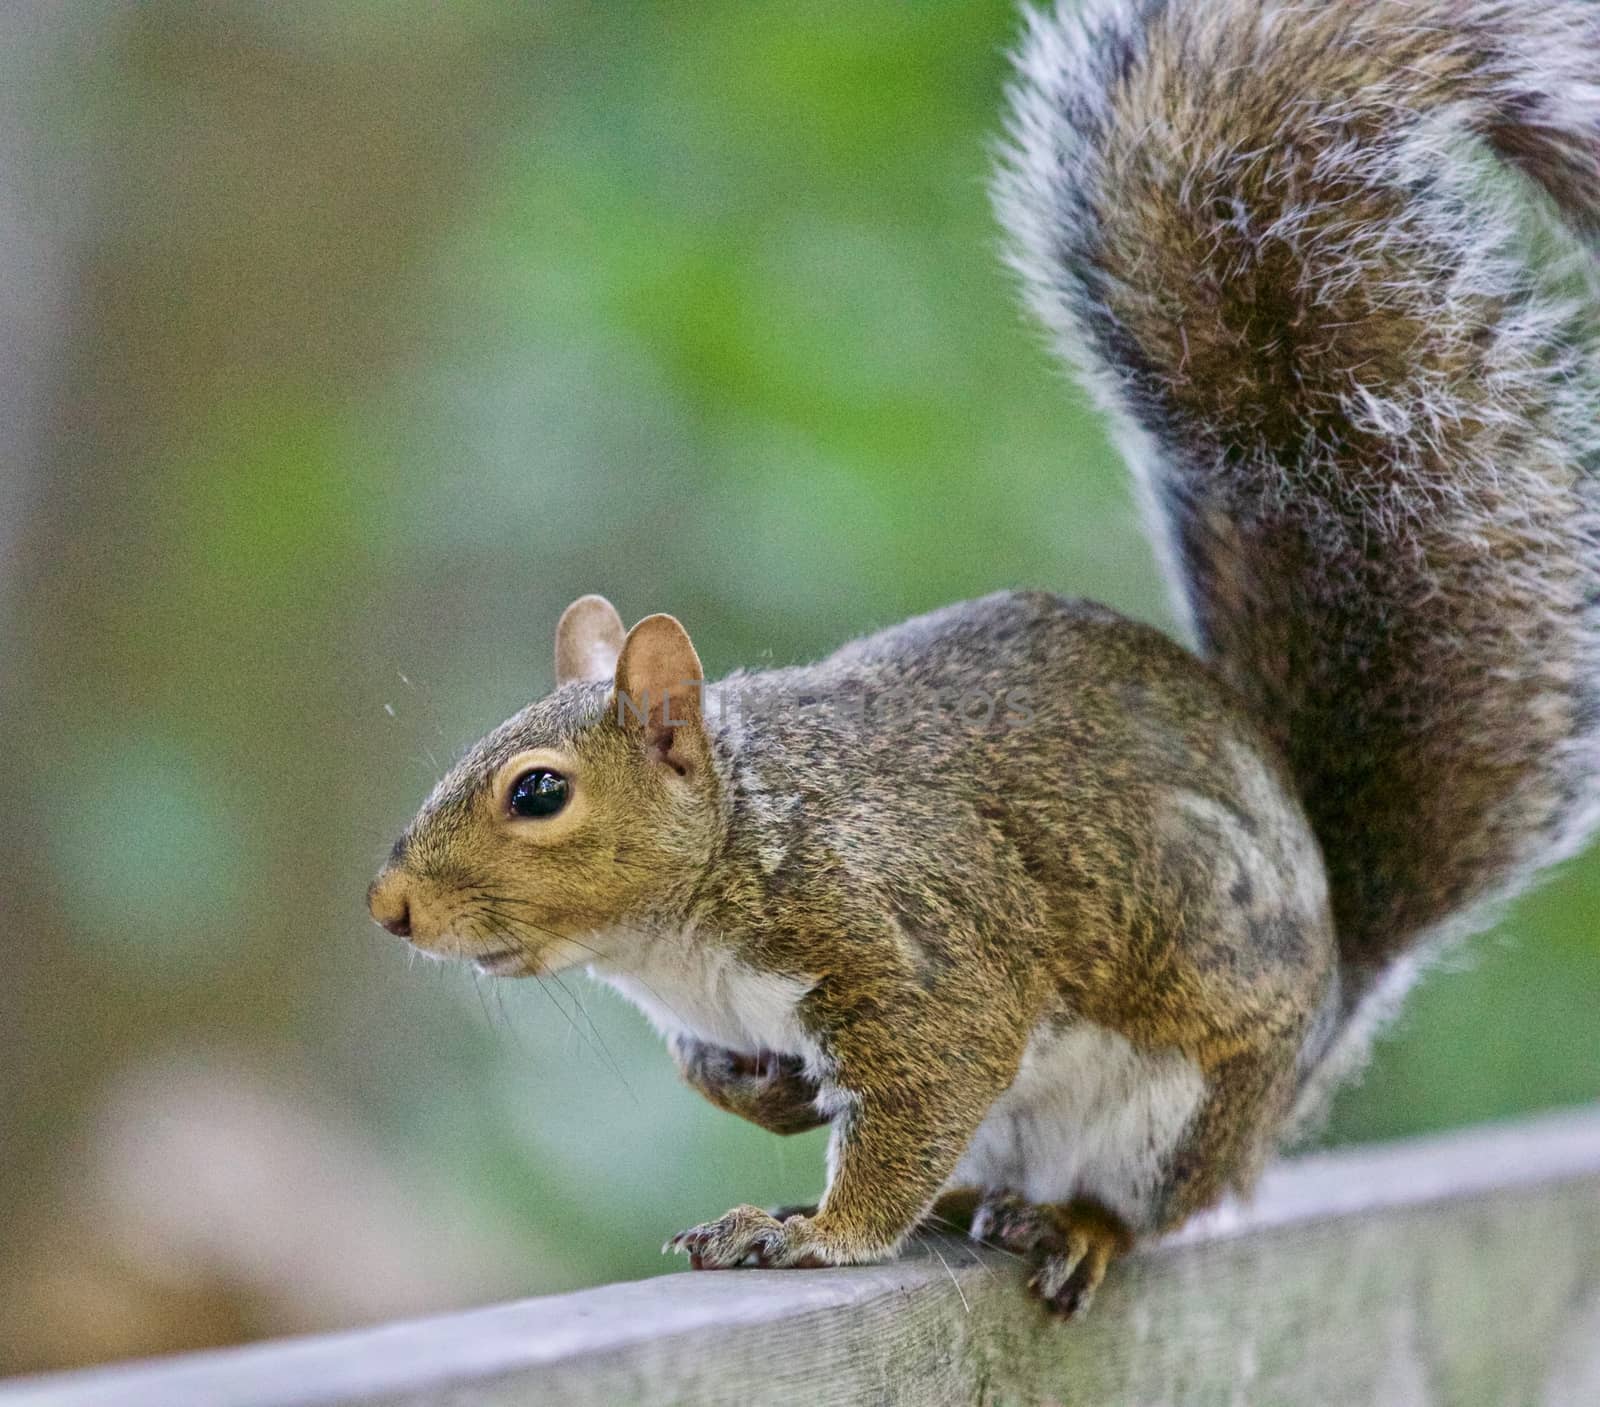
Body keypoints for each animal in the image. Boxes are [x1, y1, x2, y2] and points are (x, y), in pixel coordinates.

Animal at [366, 0, 1600, 1318]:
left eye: (538, 792)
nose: (390, 907)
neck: (713, 886)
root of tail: (1326, 1009)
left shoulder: (917, 949)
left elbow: (922, 1094)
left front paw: (821, 1236)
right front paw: (769, 1102)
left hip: (1183, 1100)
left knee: (1140, 1203)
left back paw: (1067, 1226)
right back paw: (965, 1202)